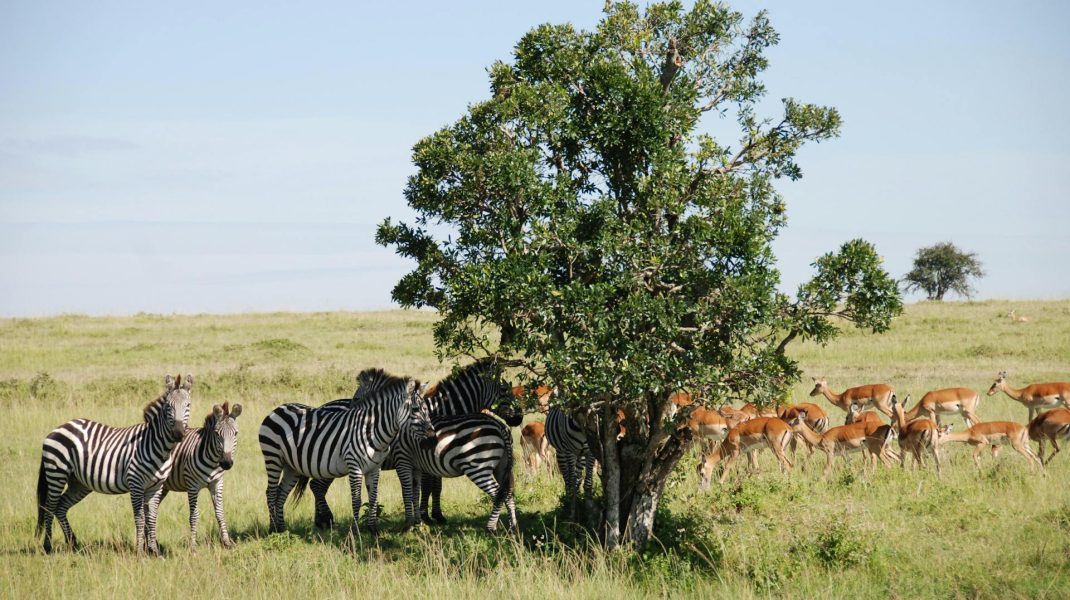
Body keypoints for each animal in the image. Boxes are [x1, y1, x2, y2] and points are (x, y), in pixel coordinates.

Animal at [35, 374, 193, 551]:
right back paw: (48, 546)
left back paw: (74, 543)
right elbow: (140, 518)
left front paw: (153, 550)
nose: (178, 434)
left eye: (188, 405)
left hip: (78, 483)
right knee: (49, 507)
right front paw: (140, 551)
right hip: (57, 473)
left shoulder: (156, 486)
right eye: (168, 407)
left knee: (60, 507)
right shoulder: (135, 484)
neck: (156, 445)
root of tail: (58, 428)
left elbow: (152, 518)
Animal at [148, 400, 242, 545]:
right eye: (217, 434)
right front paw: (193, 544)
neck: (213, 461)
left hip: (163, 487)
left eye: (235, 433)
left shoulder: (217, 484)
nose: (226, 463)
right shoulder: (192, 486)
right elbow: (194, 515)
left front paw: (227, 542)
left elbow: (220, 512)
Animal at [258, 370, 430, 532]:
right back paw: (274, 529)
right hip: (273, 456)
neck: (372, 430)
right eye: (415, 409)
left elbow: (374, 498)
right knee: (271, 492)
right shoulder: (357, 465)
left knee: (281, 492)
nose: (431, 436)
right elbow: (358, 500)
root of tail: (279, 408)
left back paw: (282, 528)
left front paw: (373, 529)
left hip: (291, 465)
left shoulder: (375, 468)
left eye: (426, 409)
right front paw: (355, 530)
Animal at [301, 357, 522, 526]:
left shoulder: (429, 456)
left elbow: (432, 486)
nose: (519, 418)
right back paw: (325, 520)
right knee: (317, 486)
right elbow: (426, 486)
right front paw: (426, 516)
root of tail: (322, 407)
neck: (438, 409)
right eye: (504, 390)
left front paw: (433, 516)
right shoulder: (419, 457)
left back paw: (321, 521)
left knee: (317, 486)